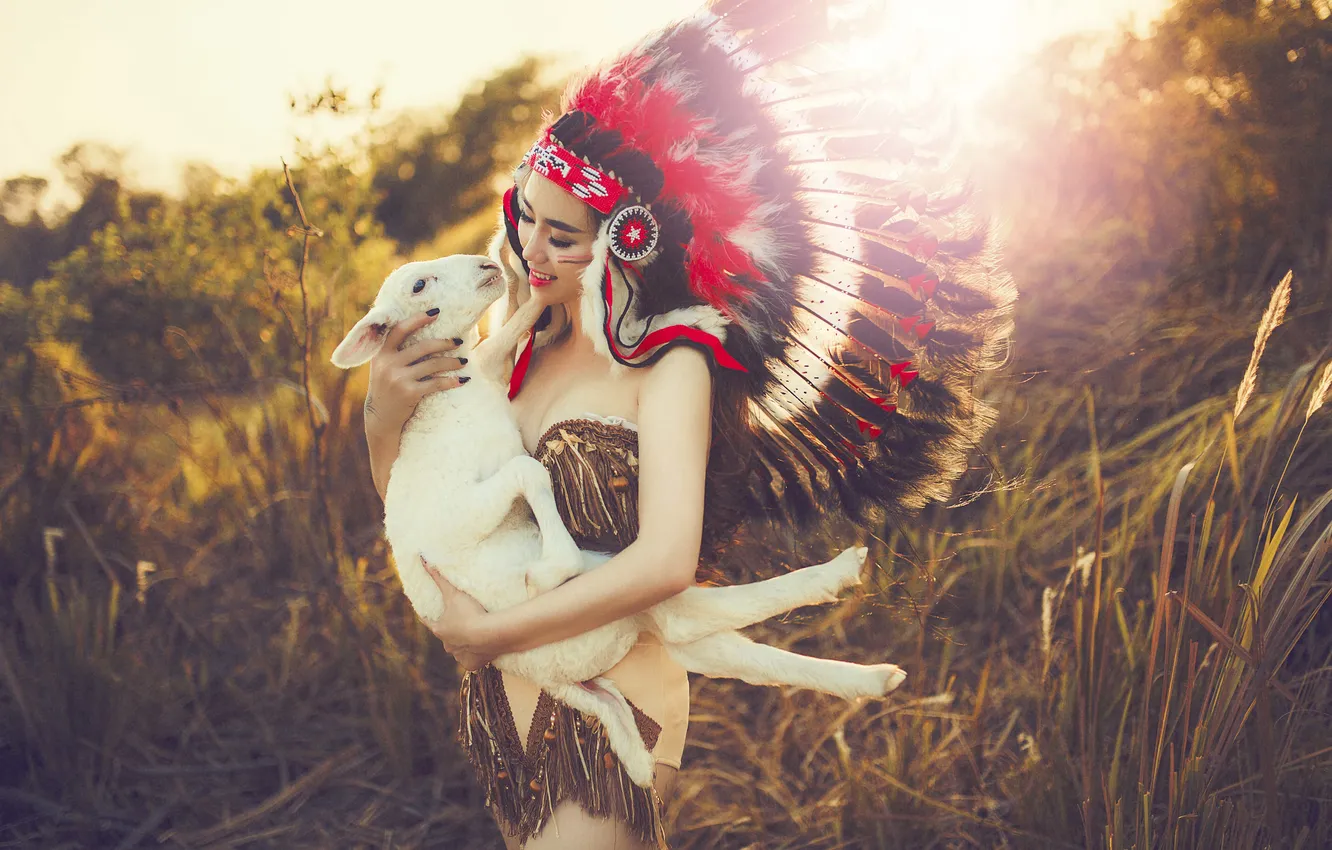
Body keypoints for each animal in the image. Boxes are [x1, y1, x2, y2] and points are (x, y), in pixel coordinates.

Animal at [333, 255, 911, 788]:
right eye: (419, 285)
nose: (486, 266)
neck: (446, 397)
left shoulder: (487, 368)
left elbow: (518, 325)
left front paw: (557, 289)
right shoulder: (453, 517)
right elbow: (527, 470)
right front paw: (550, 569)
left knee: (726, 658)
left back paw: (871, 681)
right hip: (612, 589)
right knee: (690, 620)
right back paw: (838, 577)